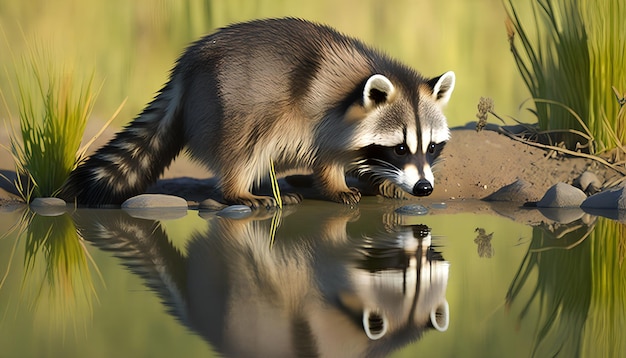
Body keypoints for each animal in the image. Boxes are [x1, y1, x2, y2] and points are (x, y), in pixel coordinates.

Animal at [59, 18, 454, 208]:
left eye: (431, 147)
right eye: (400, 148)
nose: (423, 188)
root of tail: (188, 62)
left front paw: (378, 178)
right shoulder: (321, 114)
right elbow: (326, 158)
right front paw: (337, 184)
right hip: (235, 100)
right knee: (243, 147)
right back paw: (240, 190)